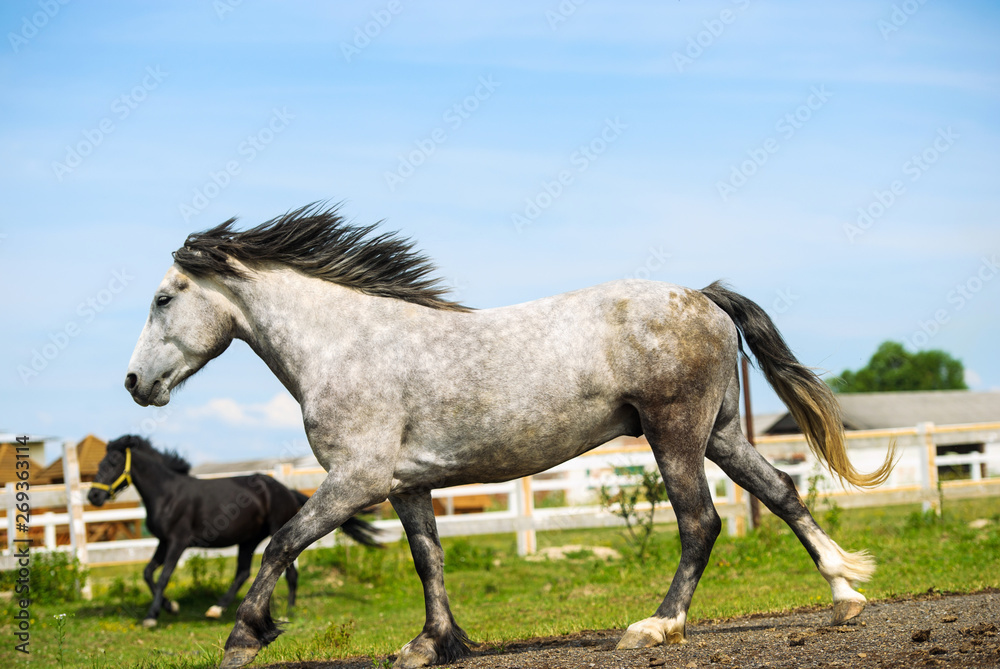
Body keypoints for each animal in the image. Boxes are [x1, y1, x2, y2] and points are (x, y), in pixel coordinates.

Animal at [88, 434, 378, 628]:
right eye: (99, 463)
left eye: (112, 463)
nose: (93, 496)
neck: (167, 494)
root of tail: (285, 489)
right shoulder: (163, 541)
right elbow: (148, 573)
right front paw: (170, 607)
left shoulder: (177, 542)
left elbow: (162, 577)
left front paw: (151, 617)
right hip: (248, 539)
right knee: (243, 572)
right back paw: (216, 609)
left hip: (274, 531)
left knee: (289, 572)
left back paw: (288, 611)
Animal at [123, 205, 892, 668]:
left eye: (163, 298)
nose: (134, 382)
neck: (346, 346)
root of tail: (703, 297)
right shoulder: (406, 486)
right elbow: (428, 561)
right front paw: (432, 643)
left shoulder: (355, 480)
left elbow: (281, 543)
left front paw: (243, 637)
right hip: (721, 433)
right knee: (782, 489)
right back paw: (845, 591)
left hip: (674, 433)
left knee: (699, 523)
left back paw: (654, 626)